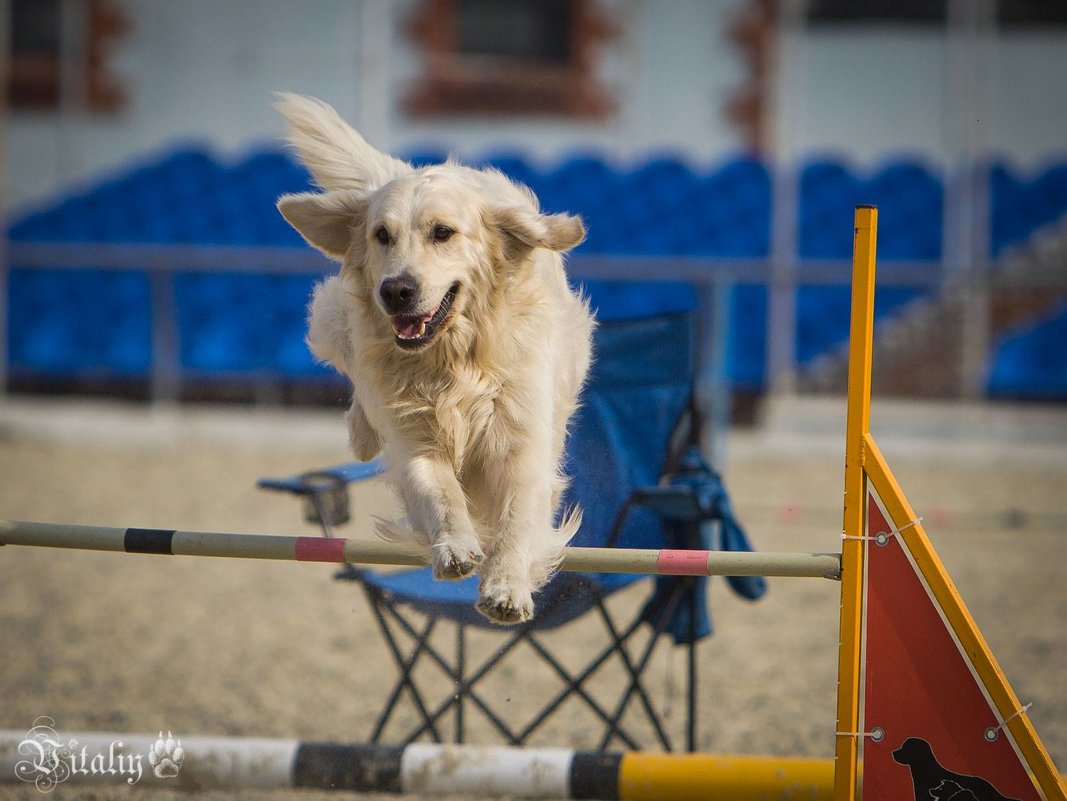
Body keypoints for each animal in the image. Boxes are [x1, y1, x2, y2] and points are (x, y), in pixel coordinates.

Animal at [273, 95, 593, 627]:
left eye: (443, 233)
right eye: (382, 235)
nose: (396, 291)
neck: (454, 363)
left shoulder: (521, 439)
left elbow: (517, 519)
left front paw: (507, 586)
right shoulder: (412, 434)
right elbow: (435, 489)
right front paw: (455, 546)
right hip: (340, 322)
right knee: (358, 387)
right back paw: (361, 432)